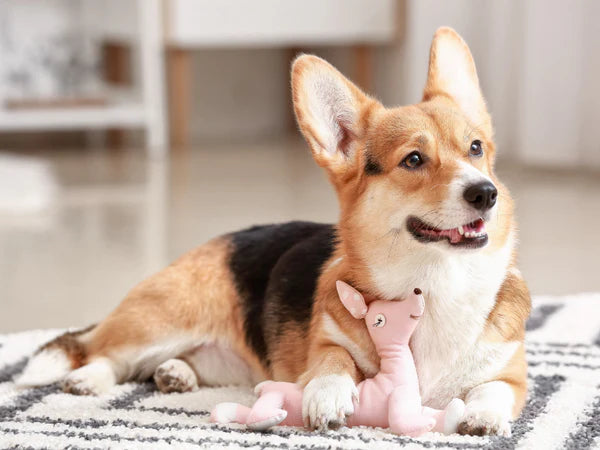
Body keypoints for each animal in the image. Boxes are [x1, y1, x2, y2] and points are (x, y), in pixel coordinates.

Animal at [17, 27, 528, 436]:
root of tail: (210, 244)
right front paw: (327, 395)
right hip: (160, 321)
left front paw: (482, 418)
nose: (485, 193)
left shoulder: (513, 378)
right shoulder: (326, 344)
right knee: (100, 350)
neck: (435, 282)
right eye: (414, 159)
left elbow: (492, 391)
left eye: (476, 148)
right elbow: (333, 361)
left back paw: (176, 374)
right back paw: (90, 378)